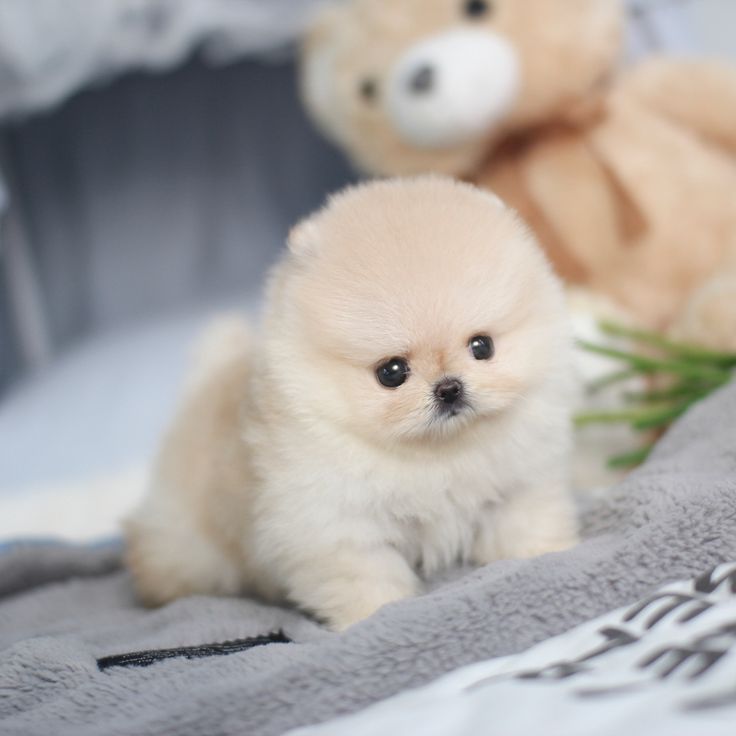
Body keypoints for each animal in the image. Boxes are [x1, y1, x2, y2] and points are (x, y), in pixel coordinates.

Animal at [123, 175, 576, 628]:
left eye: (482, 347)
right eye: (391, 372)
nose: (449, 388)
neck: (437, 454)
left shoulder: (516, 486)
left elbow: (523, 525)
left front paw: (545, 555)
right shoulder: (337, 528)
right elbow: (367, 580)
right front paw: (375, 617)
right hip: (191, 546)